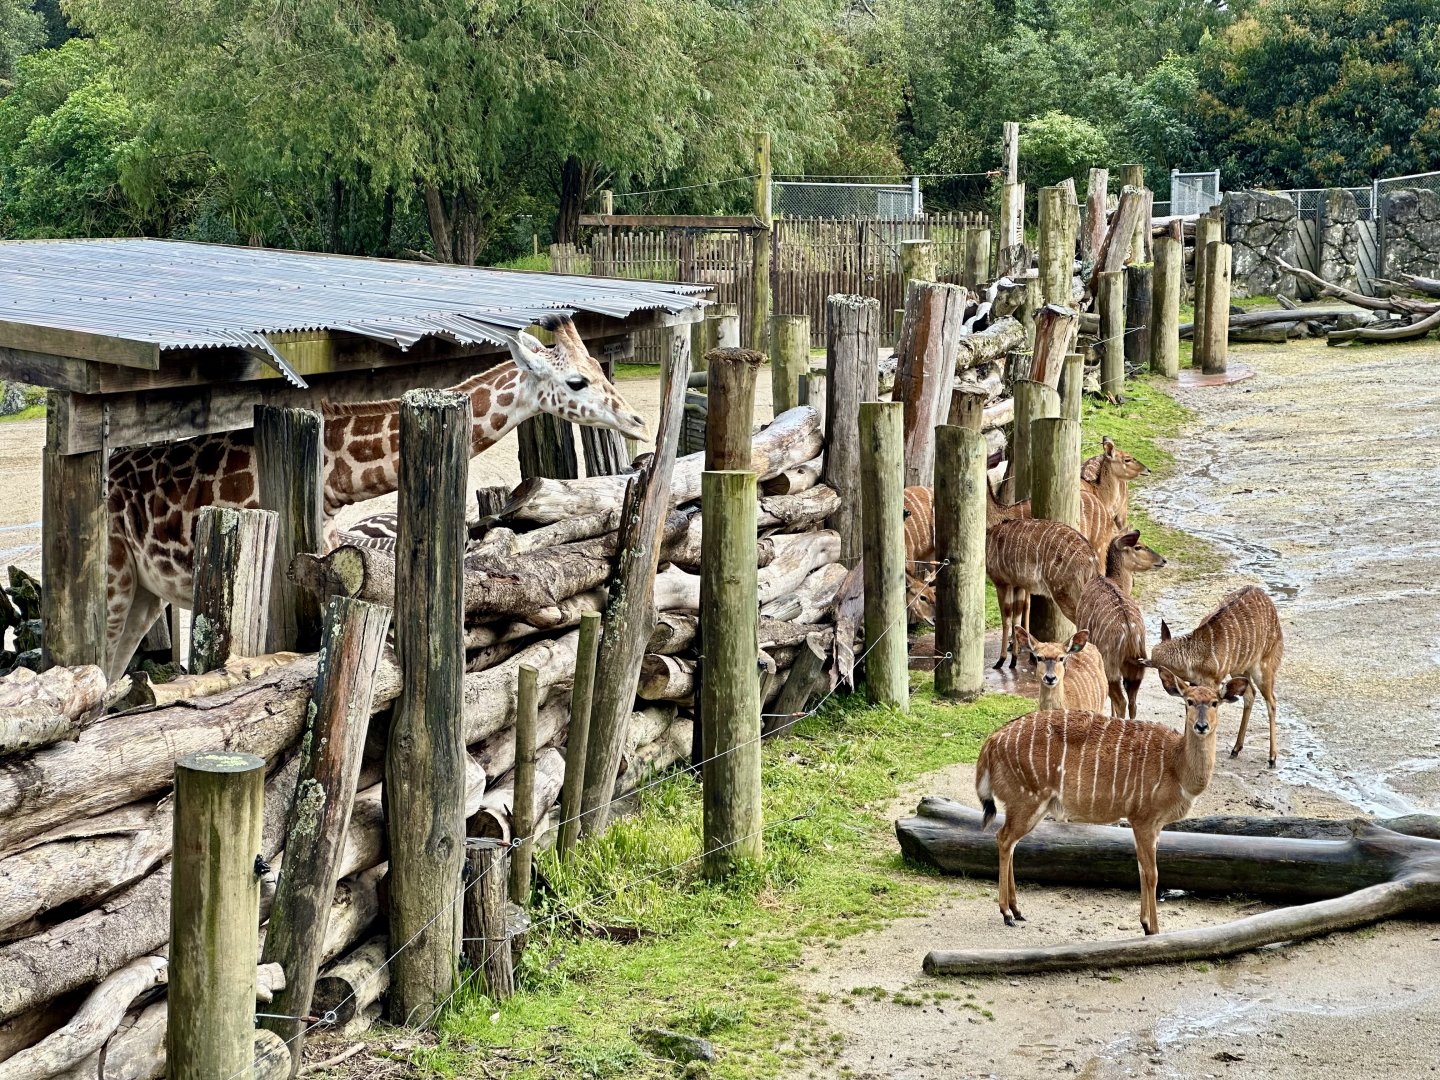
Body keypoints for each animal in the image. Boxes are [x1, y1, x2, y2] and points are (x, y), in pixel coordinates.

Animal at [103, 316, 648, 680]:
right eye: (576, 381)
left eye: (600, 367)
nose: (639, 422)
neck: (330, 477)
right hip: (114, 578)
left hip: (146, 593)